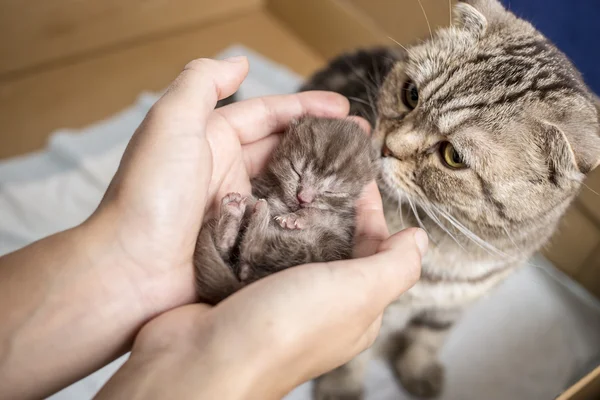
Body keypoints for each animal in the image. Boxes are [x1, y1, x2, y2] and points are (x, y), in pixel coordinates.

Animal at [195, 117, 378, 304]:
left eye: (331, 192)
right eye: (295, 171)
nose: (303, 199)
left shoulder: (343, 224)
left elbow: (324, 214)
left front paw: (296, 218)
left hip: (311, 250)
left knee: (253, 248)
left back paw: (258, 213)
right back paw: (234, 213)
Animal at [302, 0, 600, 400]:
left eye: (453, 157)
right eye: (411, 94)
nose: (386, 146)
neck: (448, 244)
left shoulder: (453, 306)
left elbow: (429, 337)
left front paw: (418, 370)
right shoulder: (377, 306)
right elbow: (355, 353)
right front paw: (343, 387)